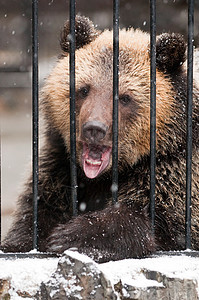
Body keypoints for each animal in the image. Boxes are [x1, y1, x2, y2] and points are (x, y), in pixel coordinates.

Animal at [1, 15, 199, 262]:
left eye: (125, 97)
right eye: (84, 89)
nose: (94, 128)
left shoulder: (174, 167)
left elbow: (157, 218)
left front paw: (69, 235)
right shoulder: (59, 164)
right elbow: (35, 214)